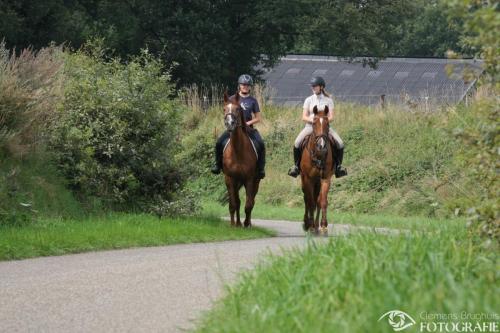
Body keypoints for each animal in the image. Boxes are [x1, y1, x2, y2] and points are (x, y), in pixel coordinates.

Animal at [223, 91, 262, 226]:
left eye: (238, 109)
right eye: (224, 109)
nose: (230, 124)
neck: (238, 152)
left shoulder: (249, 179)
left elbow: (248, 204)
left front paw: (246, 224)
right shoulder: (230, 179)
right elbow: (233, 204)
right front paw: (233, 224)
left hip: (255, 181)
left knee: (252, 201)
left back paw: (246, 223)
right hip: (236, 182)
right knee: (238, 202)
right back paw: (238, 223)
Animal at [300, 105, 332, 233]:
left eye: (328, 123)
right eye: (313, 123)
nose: (321, 146)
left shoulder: (325, 178)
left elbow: (322, 201)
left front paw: (323, 225)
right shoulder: (308, 179)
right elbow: (310, 202)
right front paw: (311, 225)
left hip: (317, 181)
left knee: (317, 199)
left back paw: (317, 224)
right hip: (304, 180)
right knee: (306, 199)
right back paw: (307, 223)